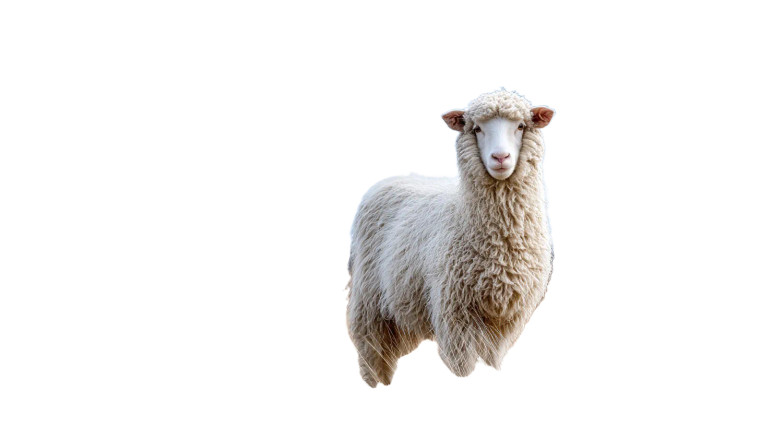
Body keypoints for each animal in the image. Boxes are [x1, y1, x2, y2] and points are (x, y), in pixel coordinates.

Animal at [346, 89, 555, 387]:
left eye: (521, 126)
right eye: (477, 128)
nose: (500, 158)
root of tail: (389, 180)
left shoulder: (504, 326)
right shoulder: (455, 321)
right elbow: (463, 371)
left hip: (402, 313)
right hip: (369, 310)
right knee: (372, 358)